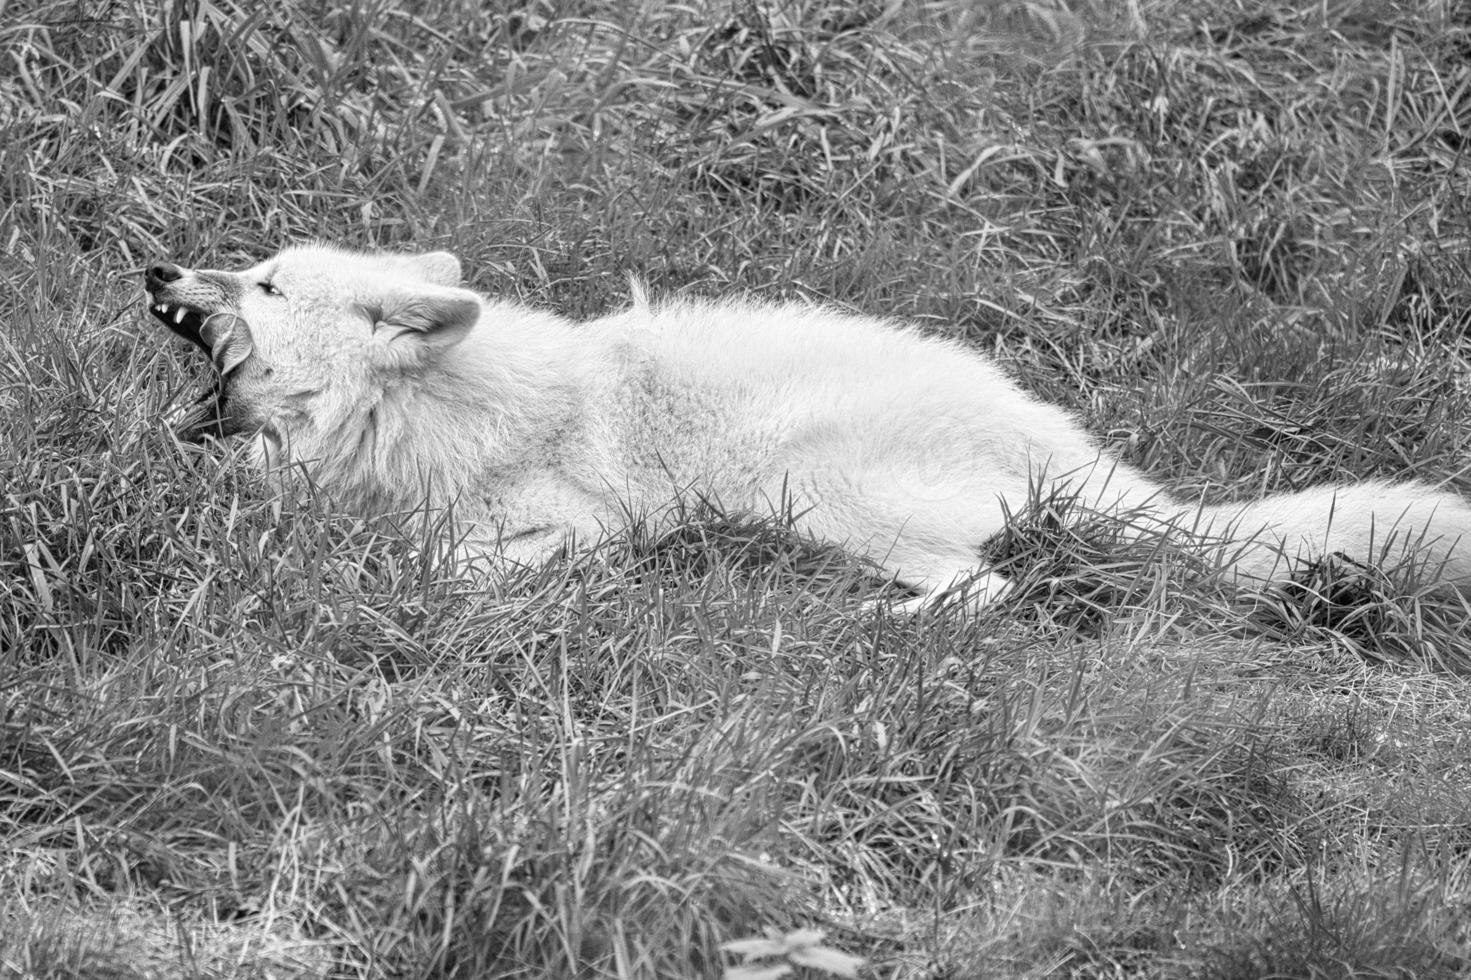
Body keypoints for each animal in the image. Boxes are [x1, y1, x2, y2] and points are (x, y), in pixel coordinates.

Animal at [140, 245, 1471, 603]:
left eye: (264, 283)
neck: (418, 408)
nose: (156, 270)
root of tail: (1053, 433)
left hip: (810, 490)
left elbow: (449, 559)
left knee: (983, 590)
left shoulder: (581, 522)